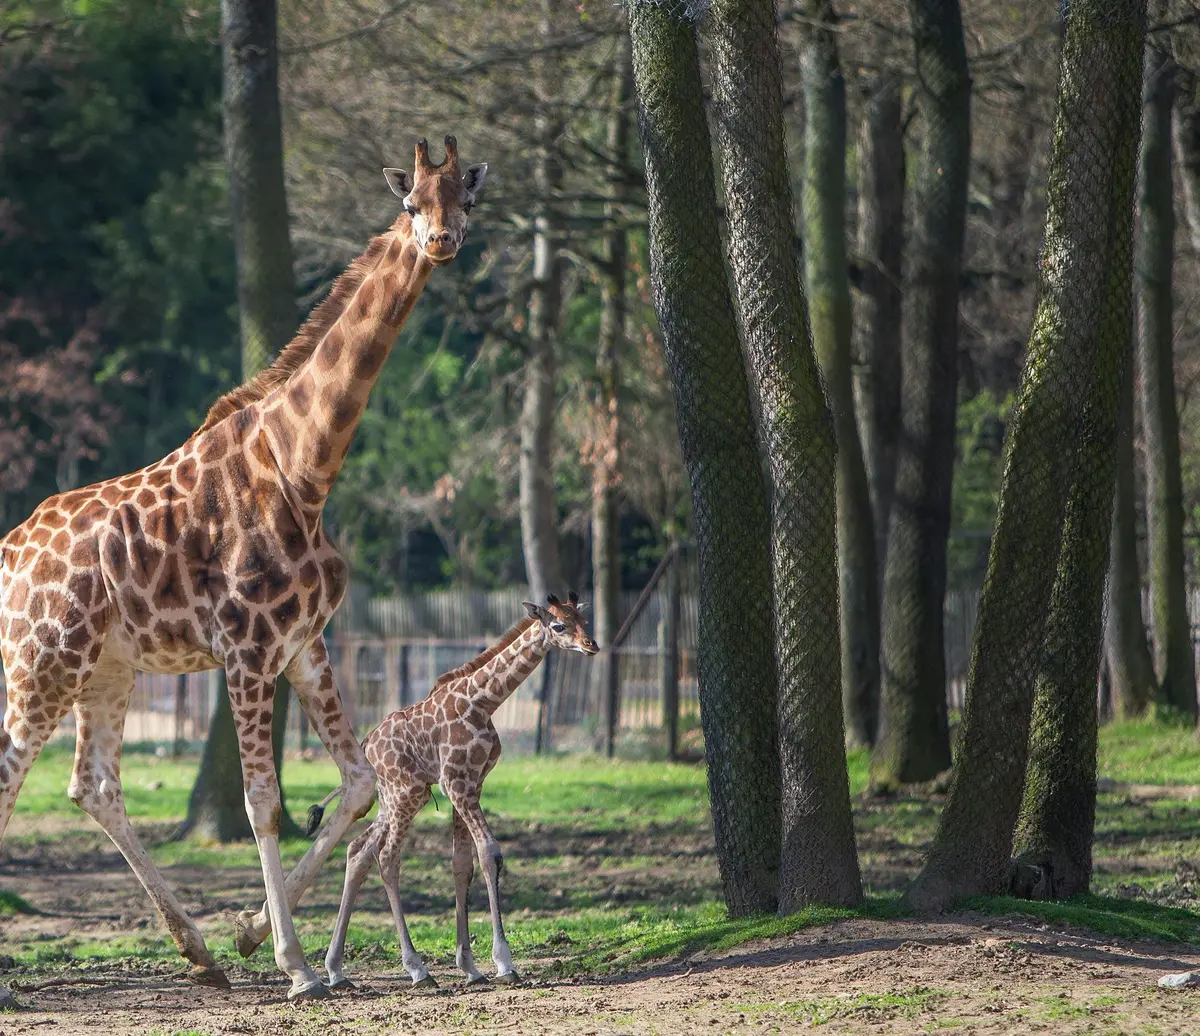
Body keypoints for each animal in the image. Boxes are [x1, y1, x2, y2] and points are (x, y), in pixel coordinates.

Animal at [0, 135, 487, 1000]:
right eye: (409, 203)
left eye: (467, 196)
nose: (441, 241)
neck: (303, 470)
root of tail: (7, 559)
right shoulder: (248, 649)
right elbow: (264, 802)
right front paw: (295, 965)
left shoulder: (305, 645)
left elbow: (354, 786)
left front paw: (251, 934)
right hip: (42, 664)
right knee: (11, 777)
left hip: (106, 669)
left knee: (92, 783)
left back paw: (197, 952)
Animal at [306, 593, 597, 990]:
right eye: (558, 625)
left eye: (583, 620)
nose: (591, 645)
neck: (484, 700)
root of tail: (366, 745)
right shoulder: (456, 782)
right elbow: (489, 853)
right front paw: (504, 962)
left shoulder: (473, 781)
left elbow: (463, 864)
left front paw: (471, 967)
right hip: (408, 793)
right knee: (387, 857)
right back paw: (417, 968)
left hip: (392, 798)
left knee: (358, 850)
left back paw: (336, 970)